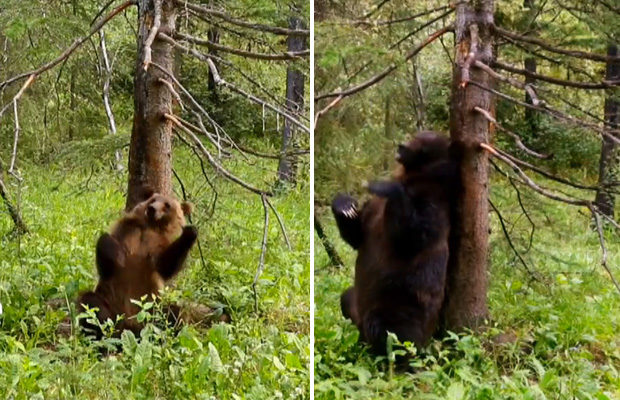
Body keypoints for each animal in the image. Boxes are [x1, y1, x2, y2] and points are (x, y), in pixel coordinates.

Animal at [332, 130, 458, 354]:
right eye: (415, 134)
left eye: (419, 141)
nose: (400, 146)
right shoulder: (373, 208)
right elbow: (358, 234)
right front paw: (345, 204)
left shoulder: (434, 200)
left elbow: (414, 235)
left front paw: (385, 186)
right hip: (358, 304)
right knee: (346, 298)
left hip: (401, 304)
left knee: (392, 332)